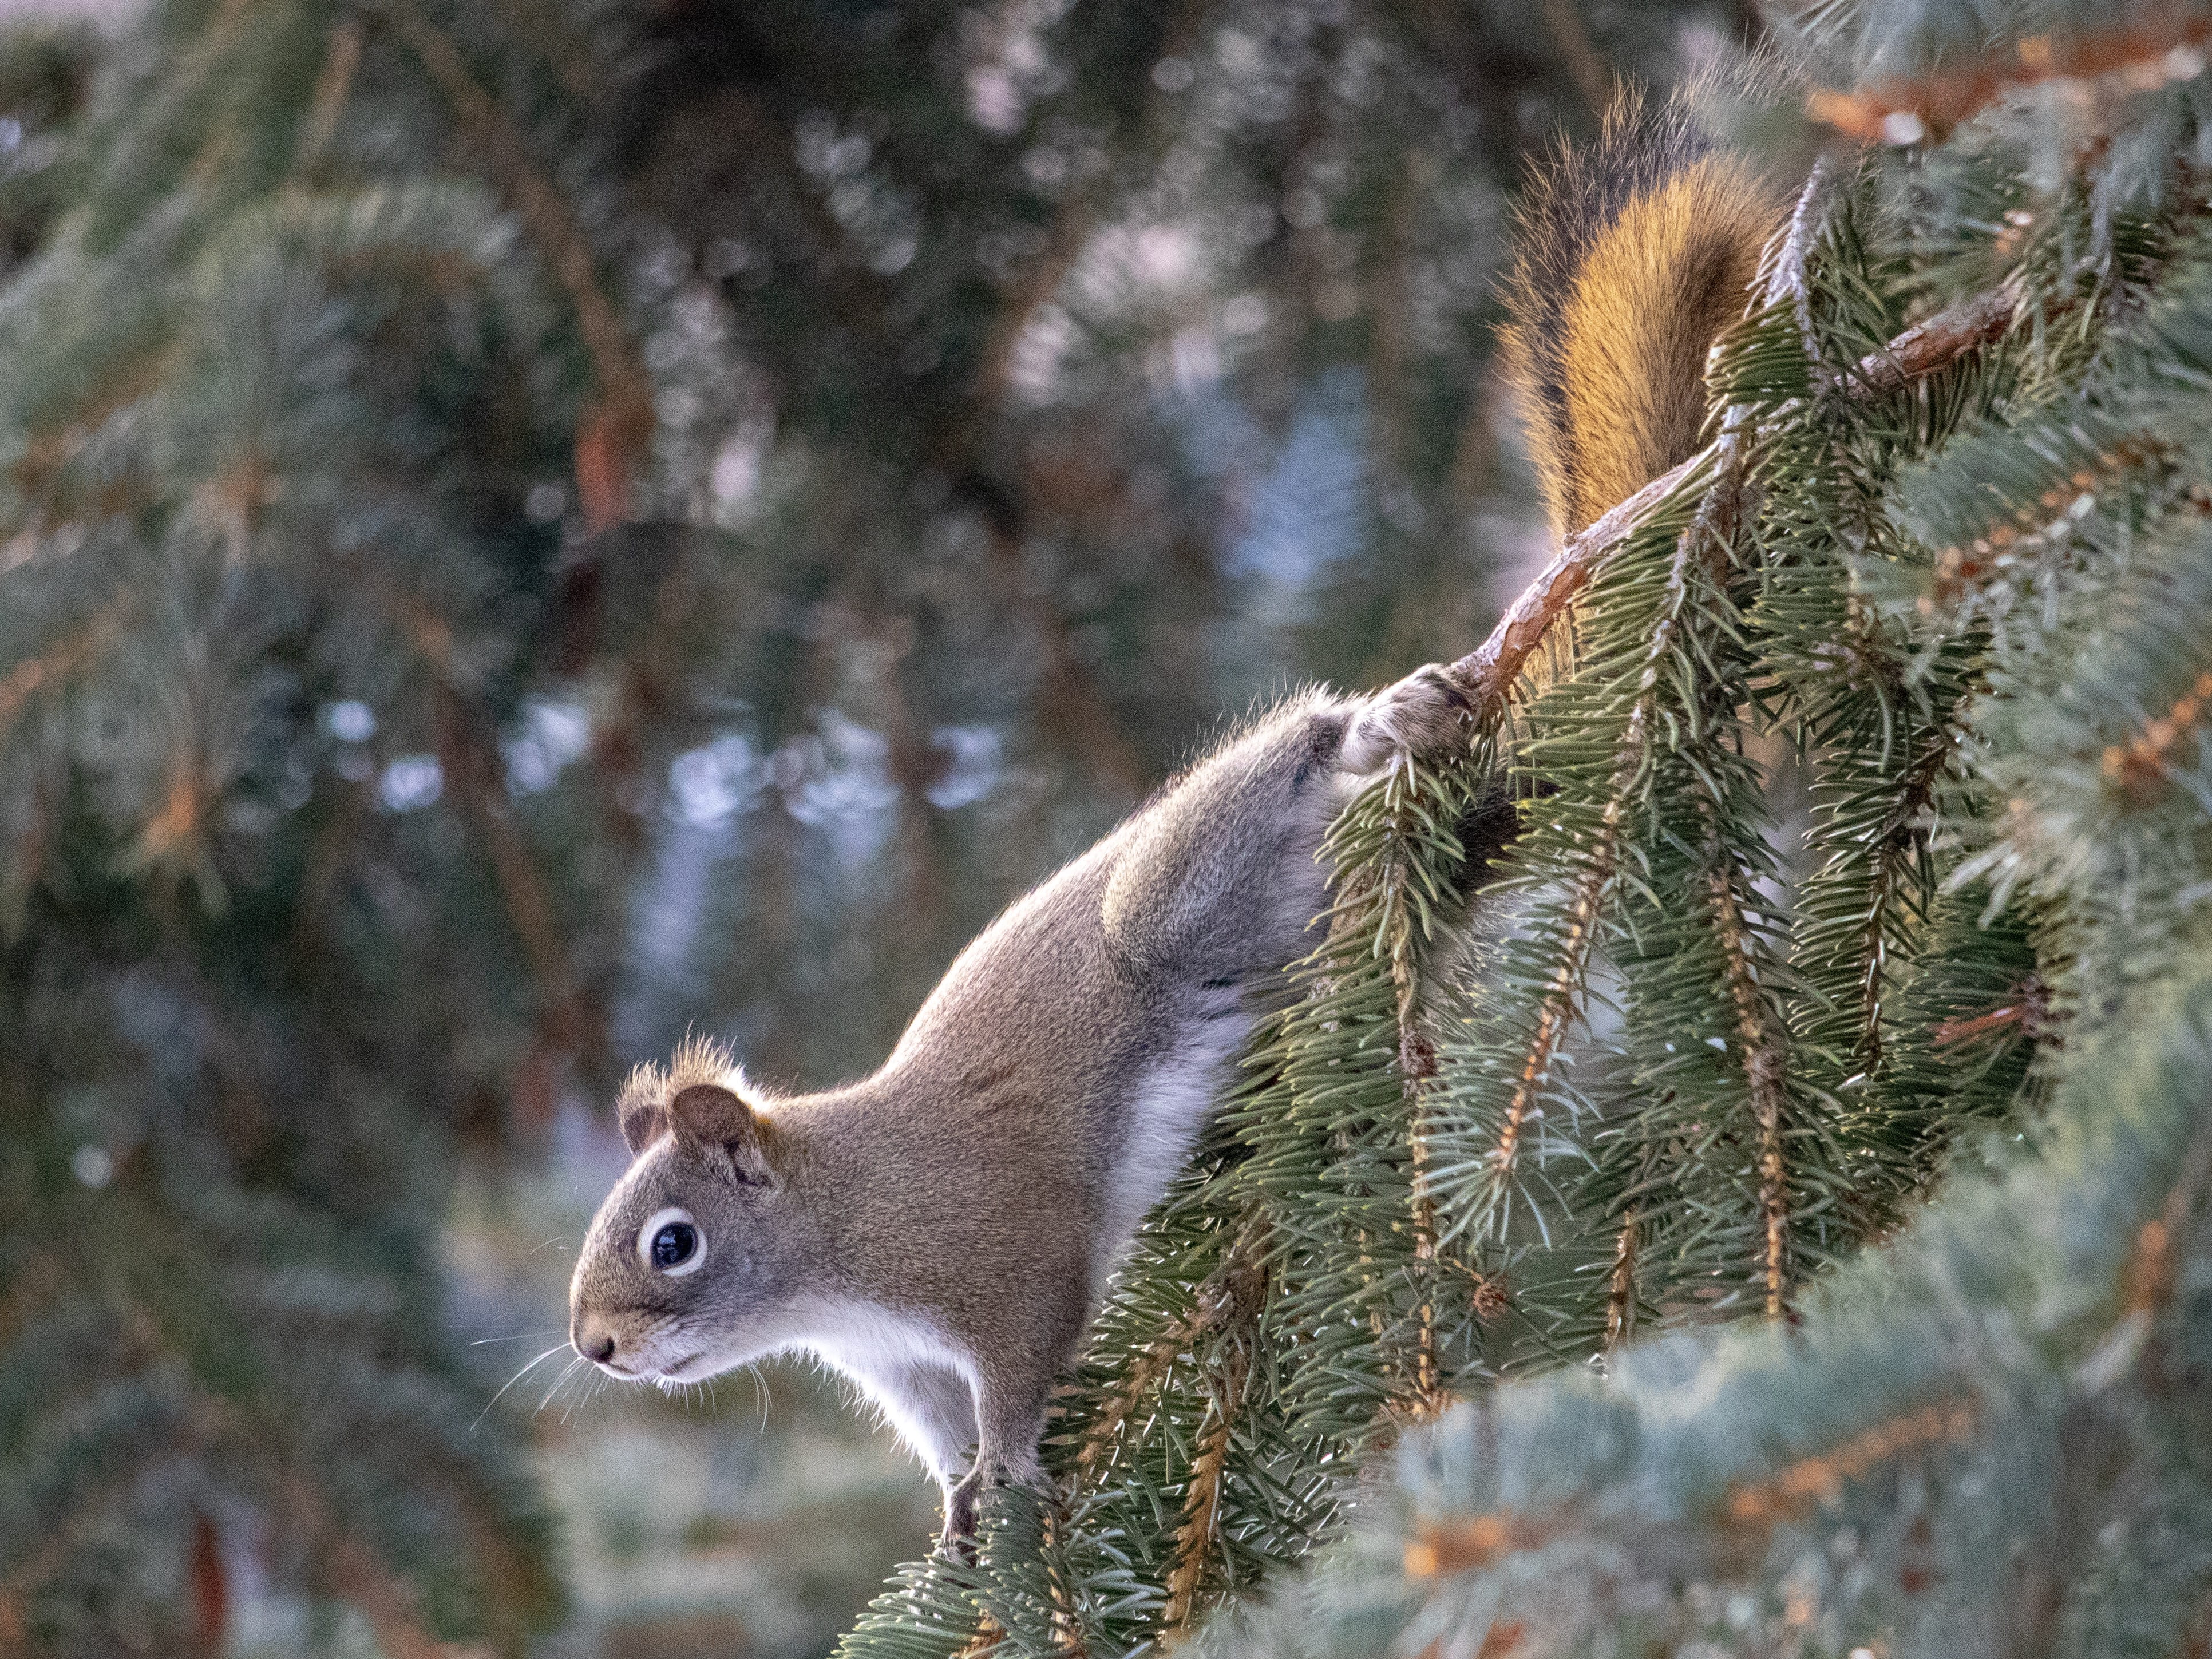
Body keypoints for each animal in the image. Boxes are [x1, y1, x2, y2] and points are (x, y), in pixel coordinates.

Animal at [567, 83, 1785, 1549]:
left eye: (670, 1241)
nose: (592, 1347)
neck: (835, 1237)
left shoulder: (992, 1266)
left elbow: (1019, 1373)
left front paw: (1016, 1477)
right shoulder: (908, 1370)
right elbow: (941, 1440)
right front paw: (959, 1520)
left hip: (1176, 900)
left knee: (1304, 755)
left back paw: (1389, 724)